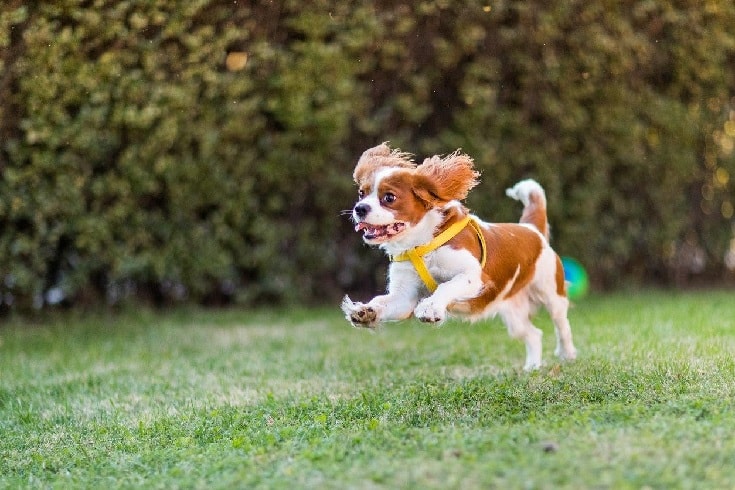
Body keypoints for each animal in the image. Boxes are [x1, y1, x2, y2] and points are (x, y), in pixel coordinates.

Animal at [342, 144, 576, 370]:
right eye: (362, 193)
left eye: (389, 197)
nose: (359, 208)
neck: (421, 243)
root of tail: (531, 229)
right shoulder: (404, 296)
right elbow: (384, 302)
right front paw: (366, 312)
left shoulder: (474, 276)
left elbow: (447, 286)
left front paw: (430, 307)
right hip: (514, 313)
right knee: (534, 334)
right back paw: (532, 367)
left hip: (551, 293)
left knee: (561, 324)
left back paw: (568, 354)